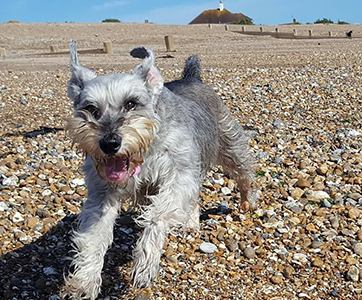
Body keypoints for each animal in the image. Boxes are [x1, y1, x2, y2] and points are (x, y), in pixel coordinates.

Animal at [62, 40, 256, 300]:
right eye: (91, 108)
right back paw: (190, 224)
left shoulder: (178, 176)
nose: (109, 143)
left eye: (131, 103)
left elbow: (157, 215)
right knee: (194, 198)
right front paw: (84, 281)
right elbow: (93, 237)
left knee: (244, 172)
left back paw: (248, 202)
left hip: (229, 145)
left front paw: (145, 263)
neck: (144, 153)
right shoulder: (102, 194)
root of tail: (191, 78)